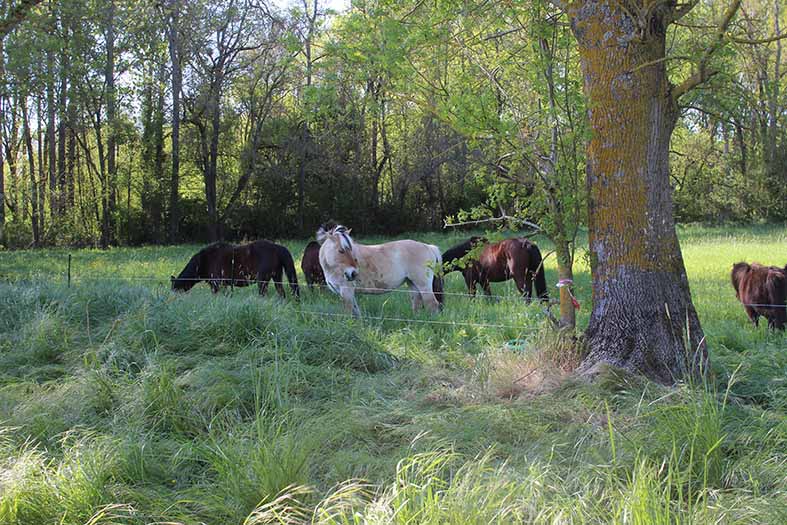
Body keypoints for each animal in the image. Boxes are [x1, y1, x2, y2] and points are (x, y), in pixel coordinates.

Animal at [173, 239, 302, 296]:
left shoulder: (216, 283)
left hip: (262, 280)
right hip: (277, 276)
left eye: (175, 288)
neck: (203, 261)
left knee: (264, 294)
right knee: (281, 293)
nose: (173, 296)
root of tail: (277, 247)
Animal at [318, 222, 446, 316]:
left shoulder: (346, 292)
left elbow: (348, 313)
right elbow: (356, 312)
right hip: (413, 284)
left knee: (432, 305)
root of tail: (428, 246)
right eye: (341, 250)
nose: (353, 273)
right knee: (417, 304)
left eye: (350, 248)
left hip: (424, 286)